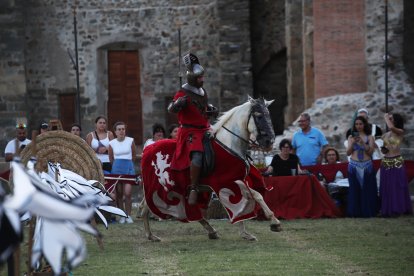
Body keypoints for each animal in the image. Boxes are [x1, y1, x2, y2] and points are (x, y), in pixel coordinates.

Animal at [142, 97, 282, 242]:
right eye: (259, 116)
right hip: (164, 187)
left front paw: (246, 233)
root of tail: (148, 148)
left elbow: (247, 200)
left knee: (146, 206)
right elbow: (254, 196)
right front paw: (274, 222)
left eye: (268, 115)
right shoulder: (228, 182)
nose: (269, 142)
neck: (229, 143)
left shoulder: (236, 181)